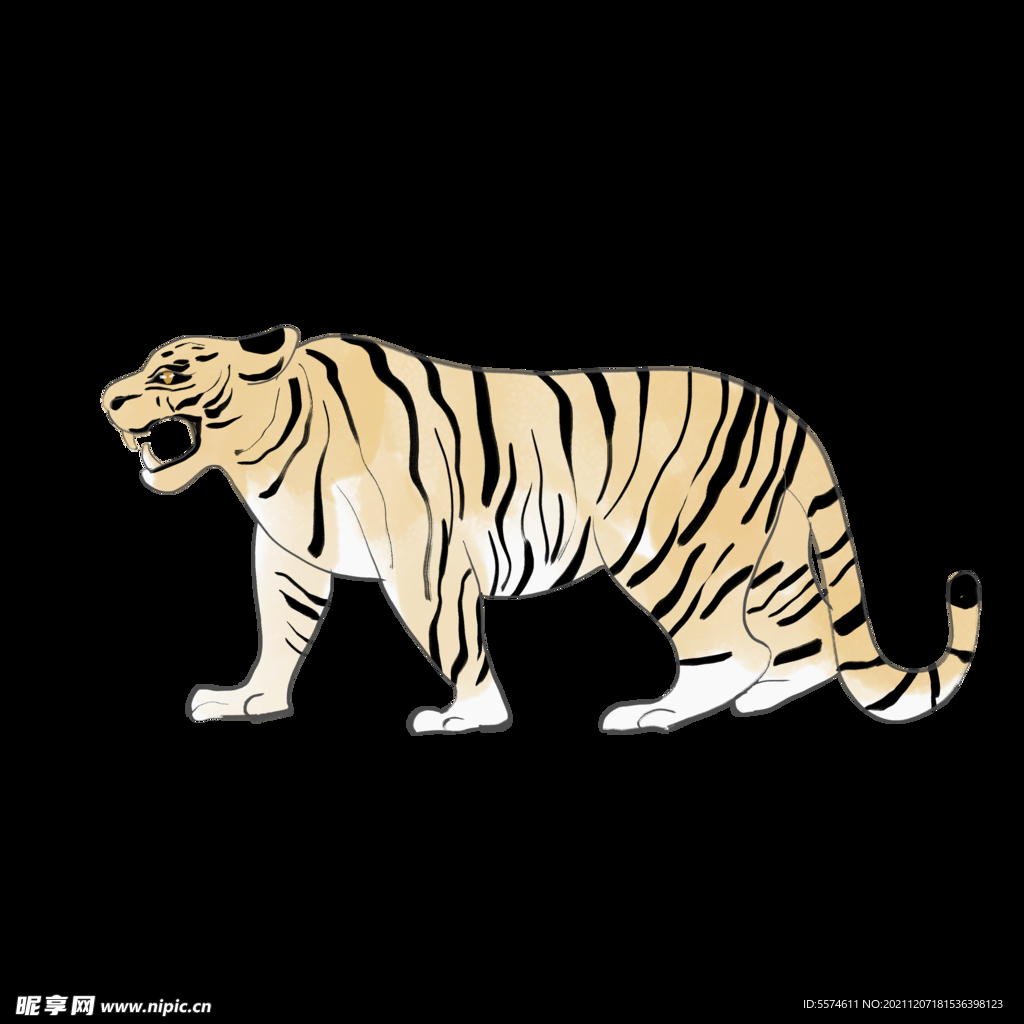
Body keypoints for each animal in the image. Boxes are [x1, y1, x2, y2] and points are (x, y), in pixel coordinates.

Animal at [100, 324, 981, 732]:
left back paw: (656, 714)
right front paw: (249, 700)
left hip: (676, 555)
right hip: (769, 557)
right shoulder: (287, 555)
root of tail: (789, 416)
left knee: (739, 646)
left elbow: (453, 639)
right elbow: (281, 630)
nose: (107, 398)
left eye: (172, 371)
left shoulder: (423, 555)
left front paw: (466, 718)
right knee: (807, 645)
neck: (265, 447)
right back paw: (760, 702)